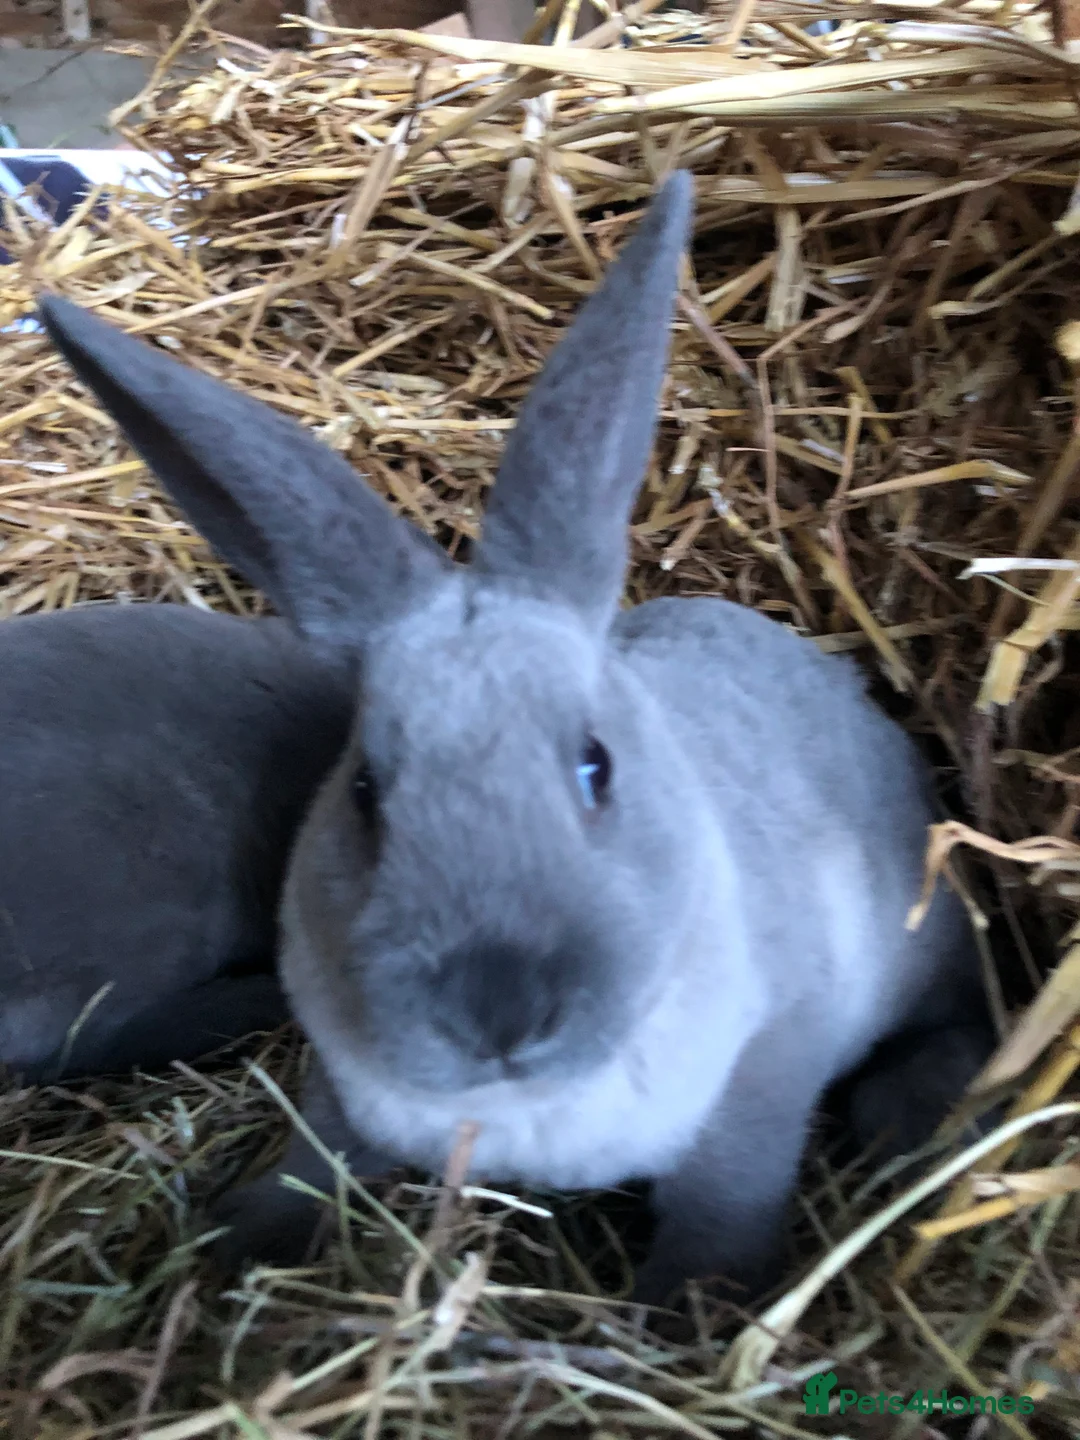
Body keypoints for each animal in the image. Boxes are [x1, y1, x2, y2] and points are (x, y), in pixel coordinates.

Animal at [37, 170, 992, 1305]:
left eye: (596, 766)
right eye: (366, 791)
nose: (497, 1013)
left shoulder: (759, 1088)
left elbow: (721, 1214)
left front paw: (683, 1316)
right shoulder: (345, 1092)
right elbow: (315, 1163)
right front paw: (239, 1244)